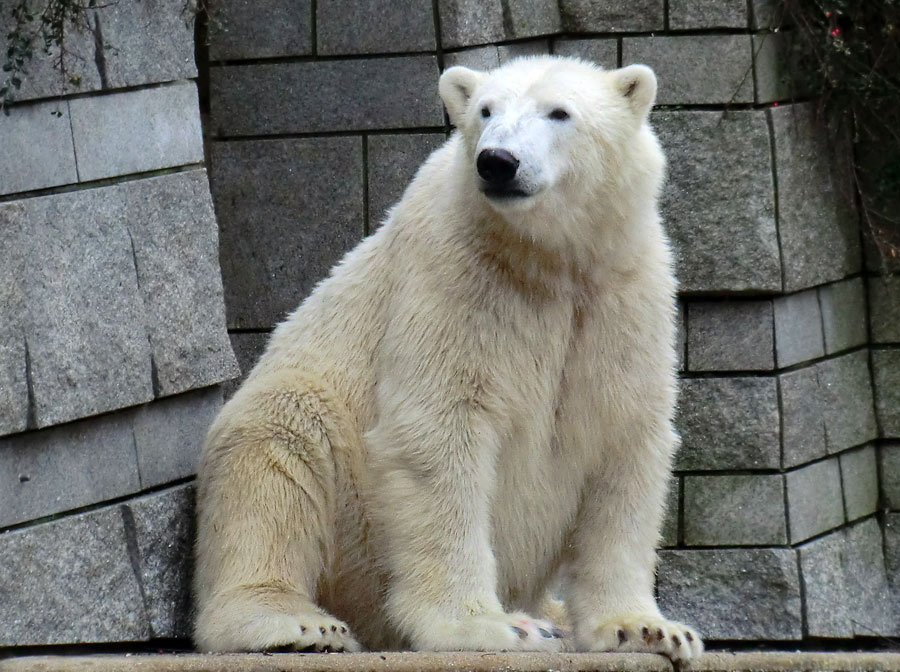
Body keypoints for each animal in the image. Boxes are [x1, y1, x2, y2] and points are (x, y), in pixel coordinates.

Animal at [195, 56, 704, 660]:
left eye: (559, 112)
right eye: (485, 110)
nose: (497, 161)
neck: (547, 262)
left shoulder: (623, 295)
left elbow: (625, 441)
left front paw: (646, 628)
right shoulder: (456, 278)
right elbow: (440, 432)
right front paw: (495, 627)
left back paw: (552, 614)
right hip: (325, 470)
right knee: (276, 460)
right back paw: (299, 624)